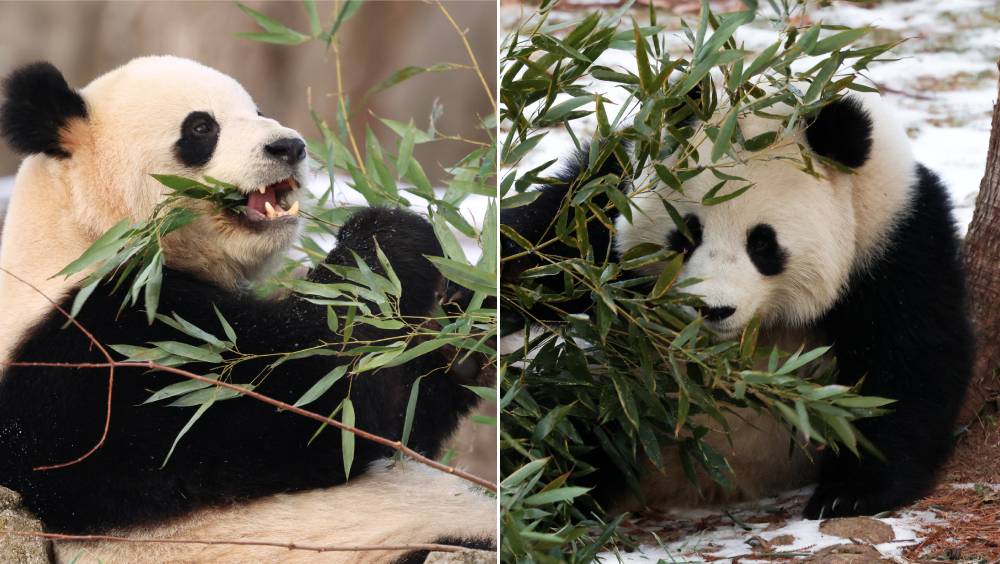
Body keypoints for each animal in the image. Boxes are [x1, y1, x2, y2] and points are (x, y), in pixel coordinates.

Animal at [0, 55, 498, 560]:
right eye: (201, 127)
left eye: (257, 110)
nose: (290, 146)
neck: (81, 234)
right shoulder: (101, 353)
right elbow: (309, 402)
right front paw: (388, 235)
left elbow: (401, 417)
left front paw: (468, 324)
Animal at [504, 91, 972, 520]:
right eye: (687, 234)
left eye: (762, 243)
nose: (713, 309)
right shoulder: (604, 201)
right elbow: (544, 243)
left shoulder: (893, 239)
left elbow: (907, 363)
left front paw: (850, 493)